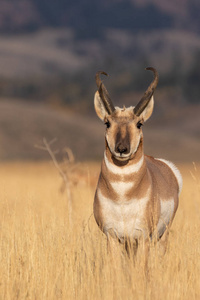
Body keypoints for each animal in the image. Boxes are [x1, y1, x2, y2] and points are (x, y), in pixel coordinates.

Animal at [93, 67, 182, 260]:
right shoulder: (113, 237)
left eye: (139, 124)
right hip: (129, 243)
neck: (122, 196)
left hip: (162, 236)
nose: (122, 148)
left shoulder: (143, 238)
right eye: (107, 123)